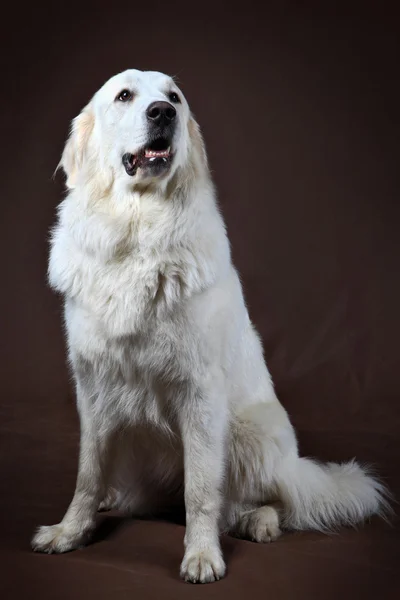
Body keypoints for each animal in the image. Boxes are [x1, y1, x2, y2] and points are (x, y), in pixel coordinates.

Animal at [32, 69, 390, 580]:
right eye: (124, 96)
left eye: (174, 97)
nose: (163, 112)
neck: (136, 234)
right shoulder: (93, 387)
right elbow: (87, 473)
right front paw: (69, 532)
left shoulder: (199, 392)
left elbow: (201, 489)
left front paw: (201, 555)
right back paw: (116, 499)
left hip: (252, 434)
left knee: (270, 502)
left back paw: (259, 522)